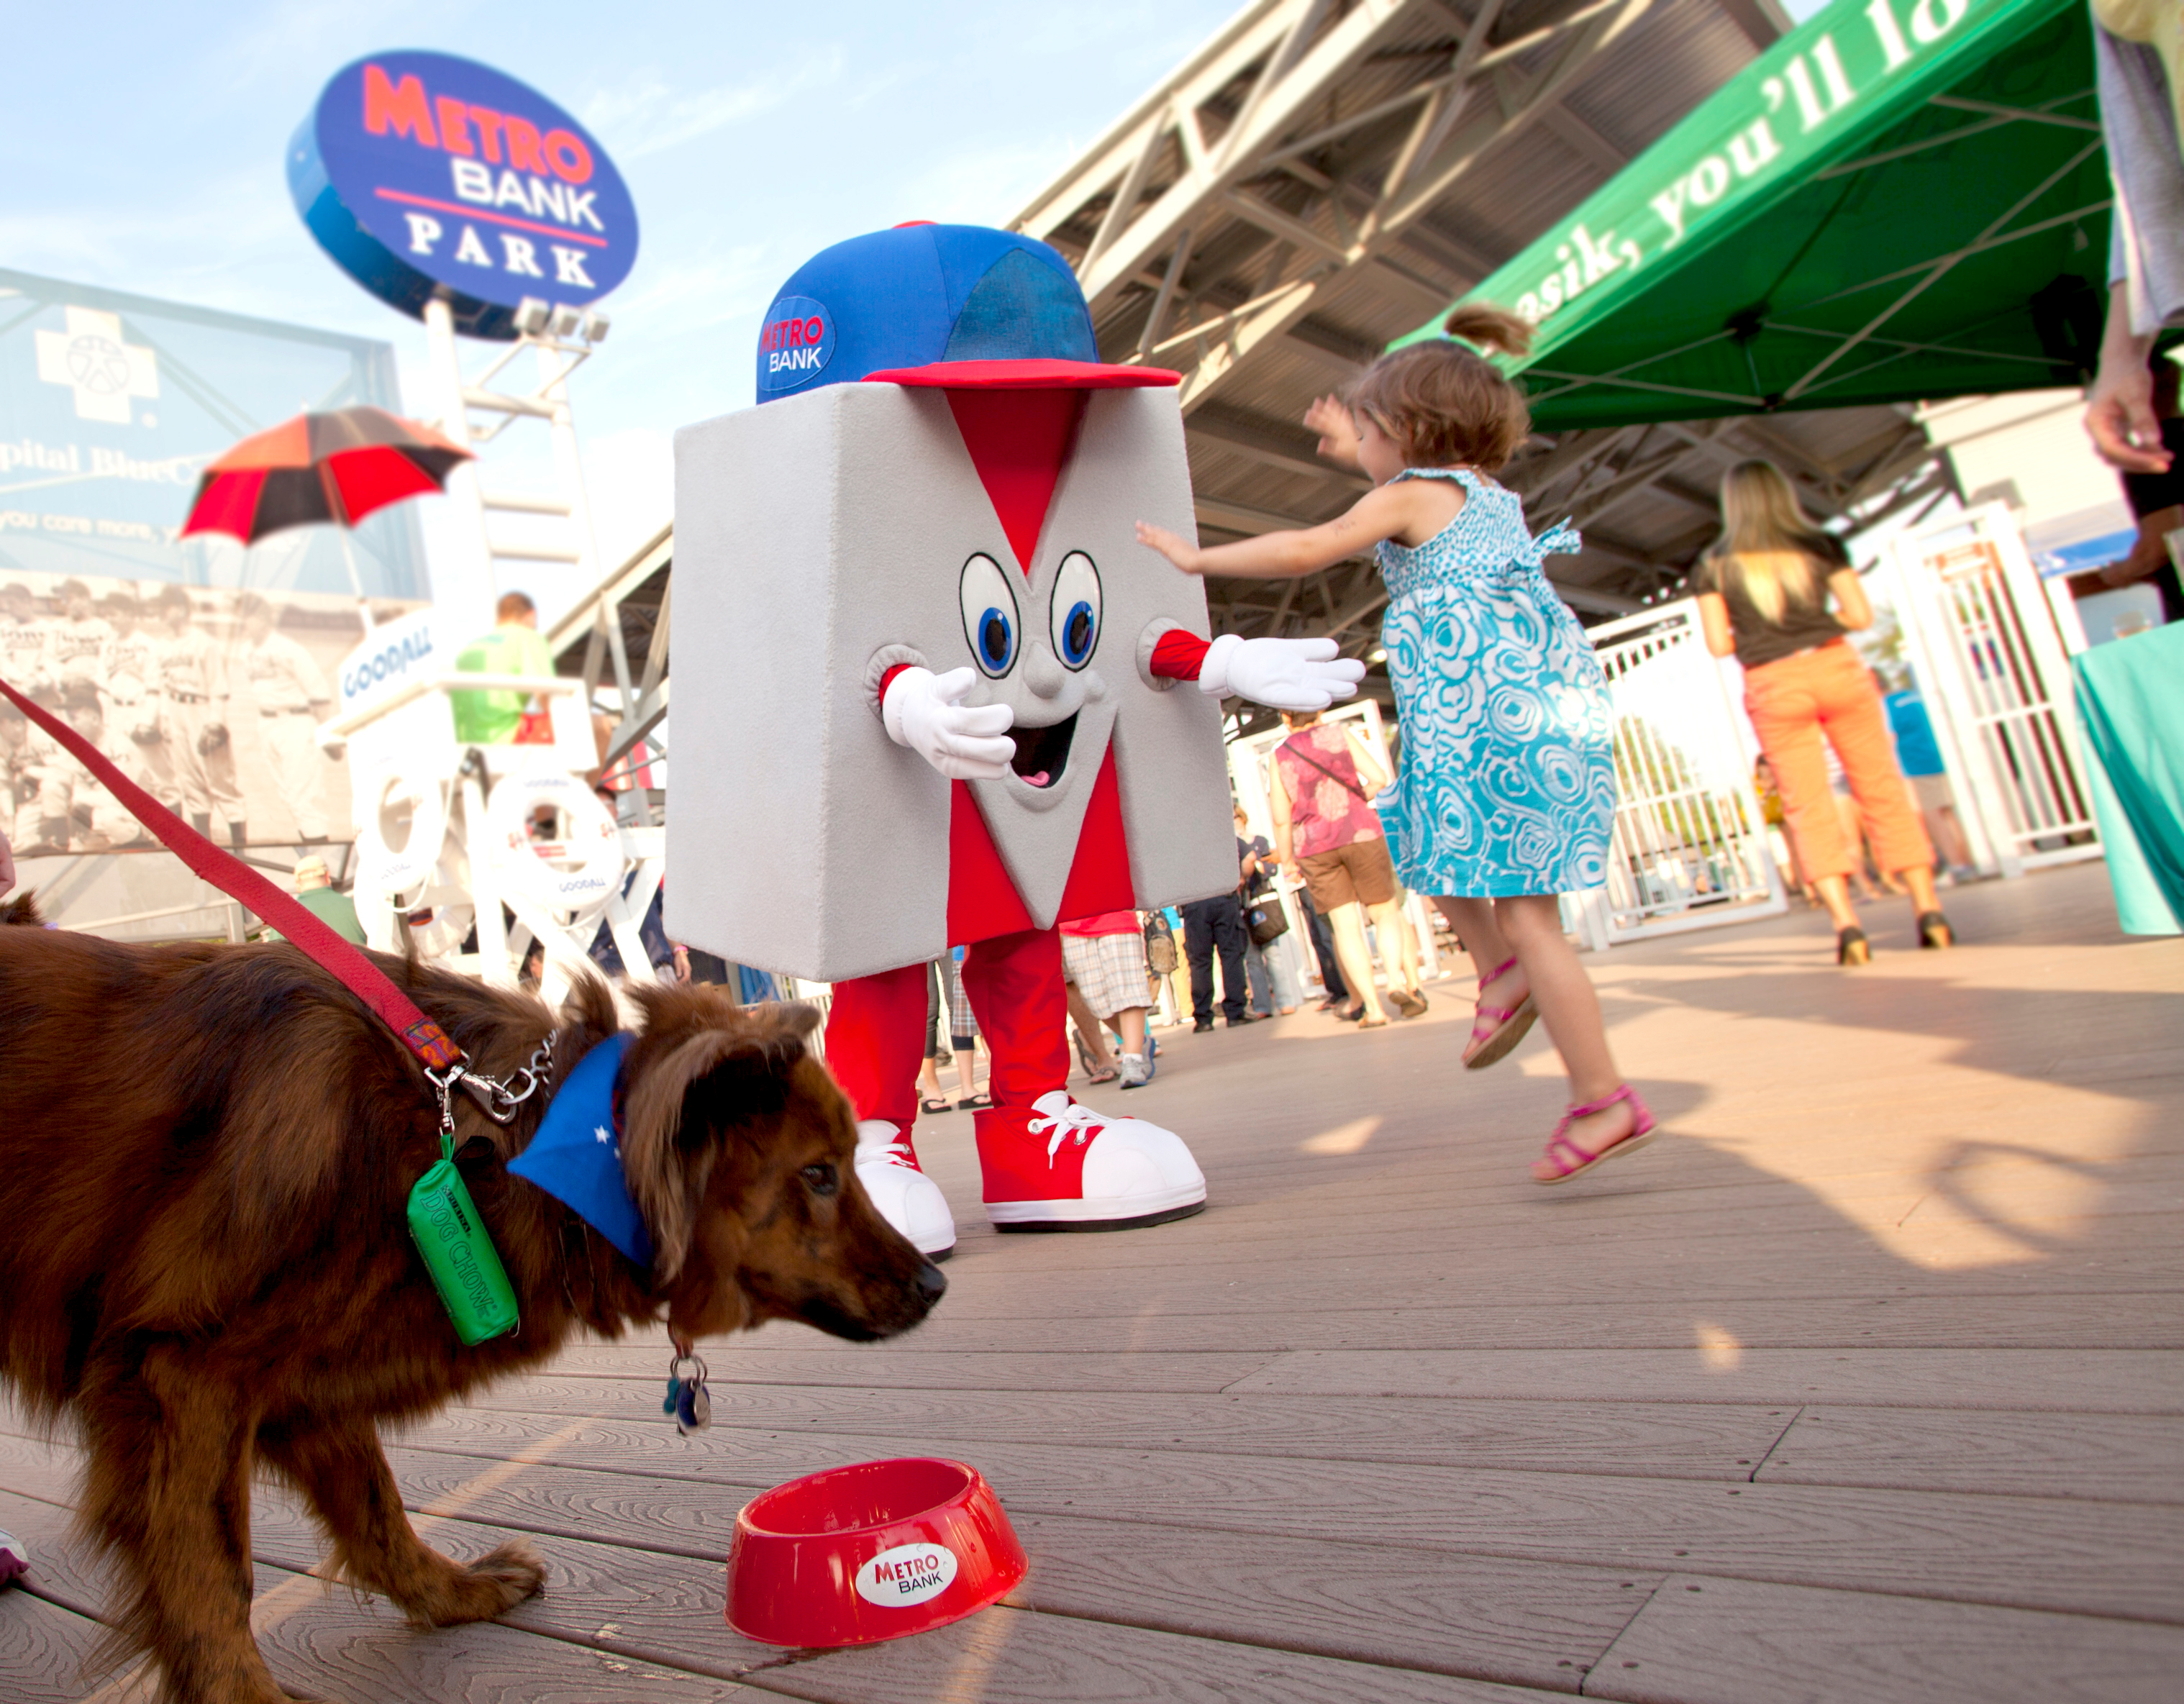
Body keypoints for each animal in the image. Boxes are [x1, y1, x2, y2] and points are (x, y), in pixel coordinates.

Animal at [0, 913, 943, 1704]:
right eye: (819, 1173)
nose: (934, 1288)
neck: (505, 1143)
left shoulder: (300, 1381)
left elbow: (377, 1508)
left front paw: (451, 1593)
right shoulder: (183, 1377)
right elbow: (213, 1575)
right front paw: (243, 1694)